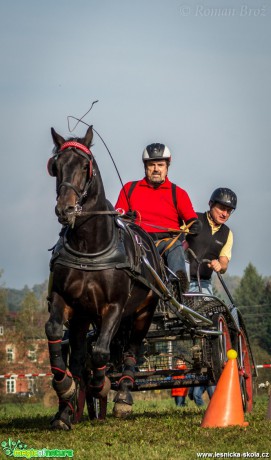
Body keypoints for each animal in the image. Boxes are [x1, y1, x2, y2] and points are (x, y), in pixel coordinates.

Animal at [46, 124, 164, 430]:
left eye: (85, 166)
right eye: (55, 166)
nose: (65, 209)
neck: (90, 247)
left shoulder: (115, 306)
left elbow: (101, 351)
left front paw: (102, 386)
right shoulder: (64, 300)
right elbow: (55, 333)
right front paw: (65, 388)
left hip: (143, 312)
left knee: (130, 351)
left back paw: (123, 395)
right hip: (83, 315)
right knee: (78, 357)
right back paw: (67, 409)